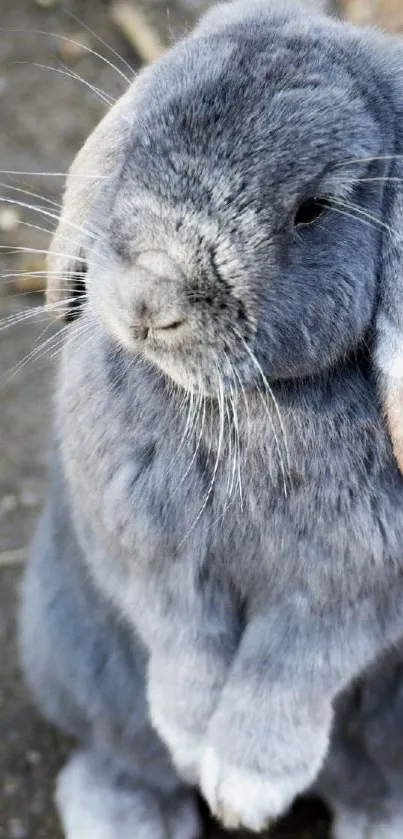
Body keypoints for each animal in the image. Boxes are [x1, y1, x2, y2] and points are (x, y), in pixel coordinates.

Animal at [18, 0, 403, 836]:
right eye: (137, 136)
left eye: (312, 210)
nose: (149, 301)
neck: (245, 403)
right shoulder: (148, 555)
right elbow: (184, 644)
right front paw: (198, 747)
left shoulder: (345, 597)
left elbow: (288, 668)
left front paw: (245, 787)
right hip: (72, 654)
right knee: (118, 755)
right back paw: (129, 816)